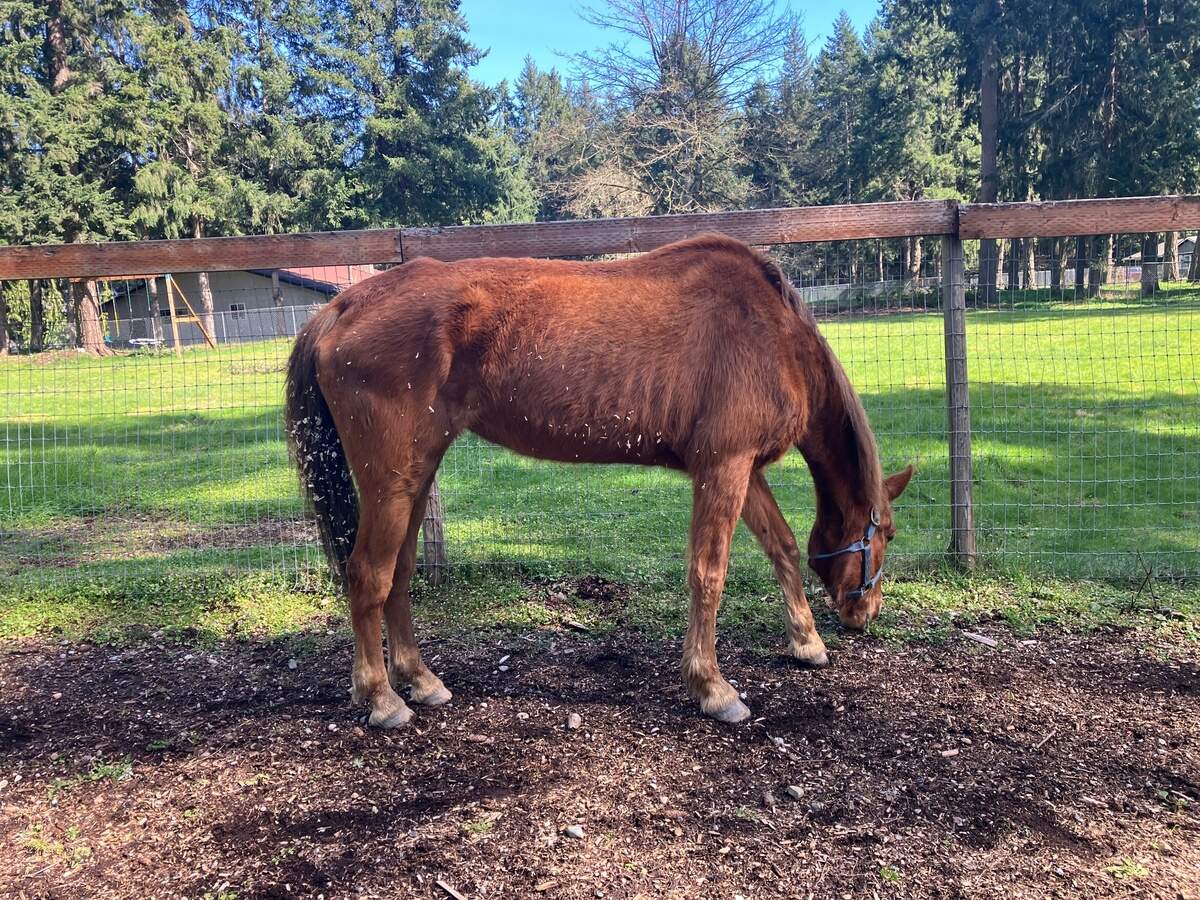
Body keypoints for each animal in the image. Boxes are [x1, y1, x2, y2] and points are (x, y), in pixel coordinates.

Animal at [285, 234, 912, 727]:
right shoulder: (723, 468)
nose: (867, 614)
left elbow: (780, 545)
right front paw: (711, 688)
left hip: (415, 476)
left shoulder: (742, 469)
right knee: (368, 575)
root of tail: (344, 305)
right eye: (885, 534)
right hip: (390, 481)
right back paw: (381, 698)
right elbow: (708, 574)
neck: (774, 335)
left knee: (398, 574)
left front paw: (806, 642)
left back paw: (419, 679)